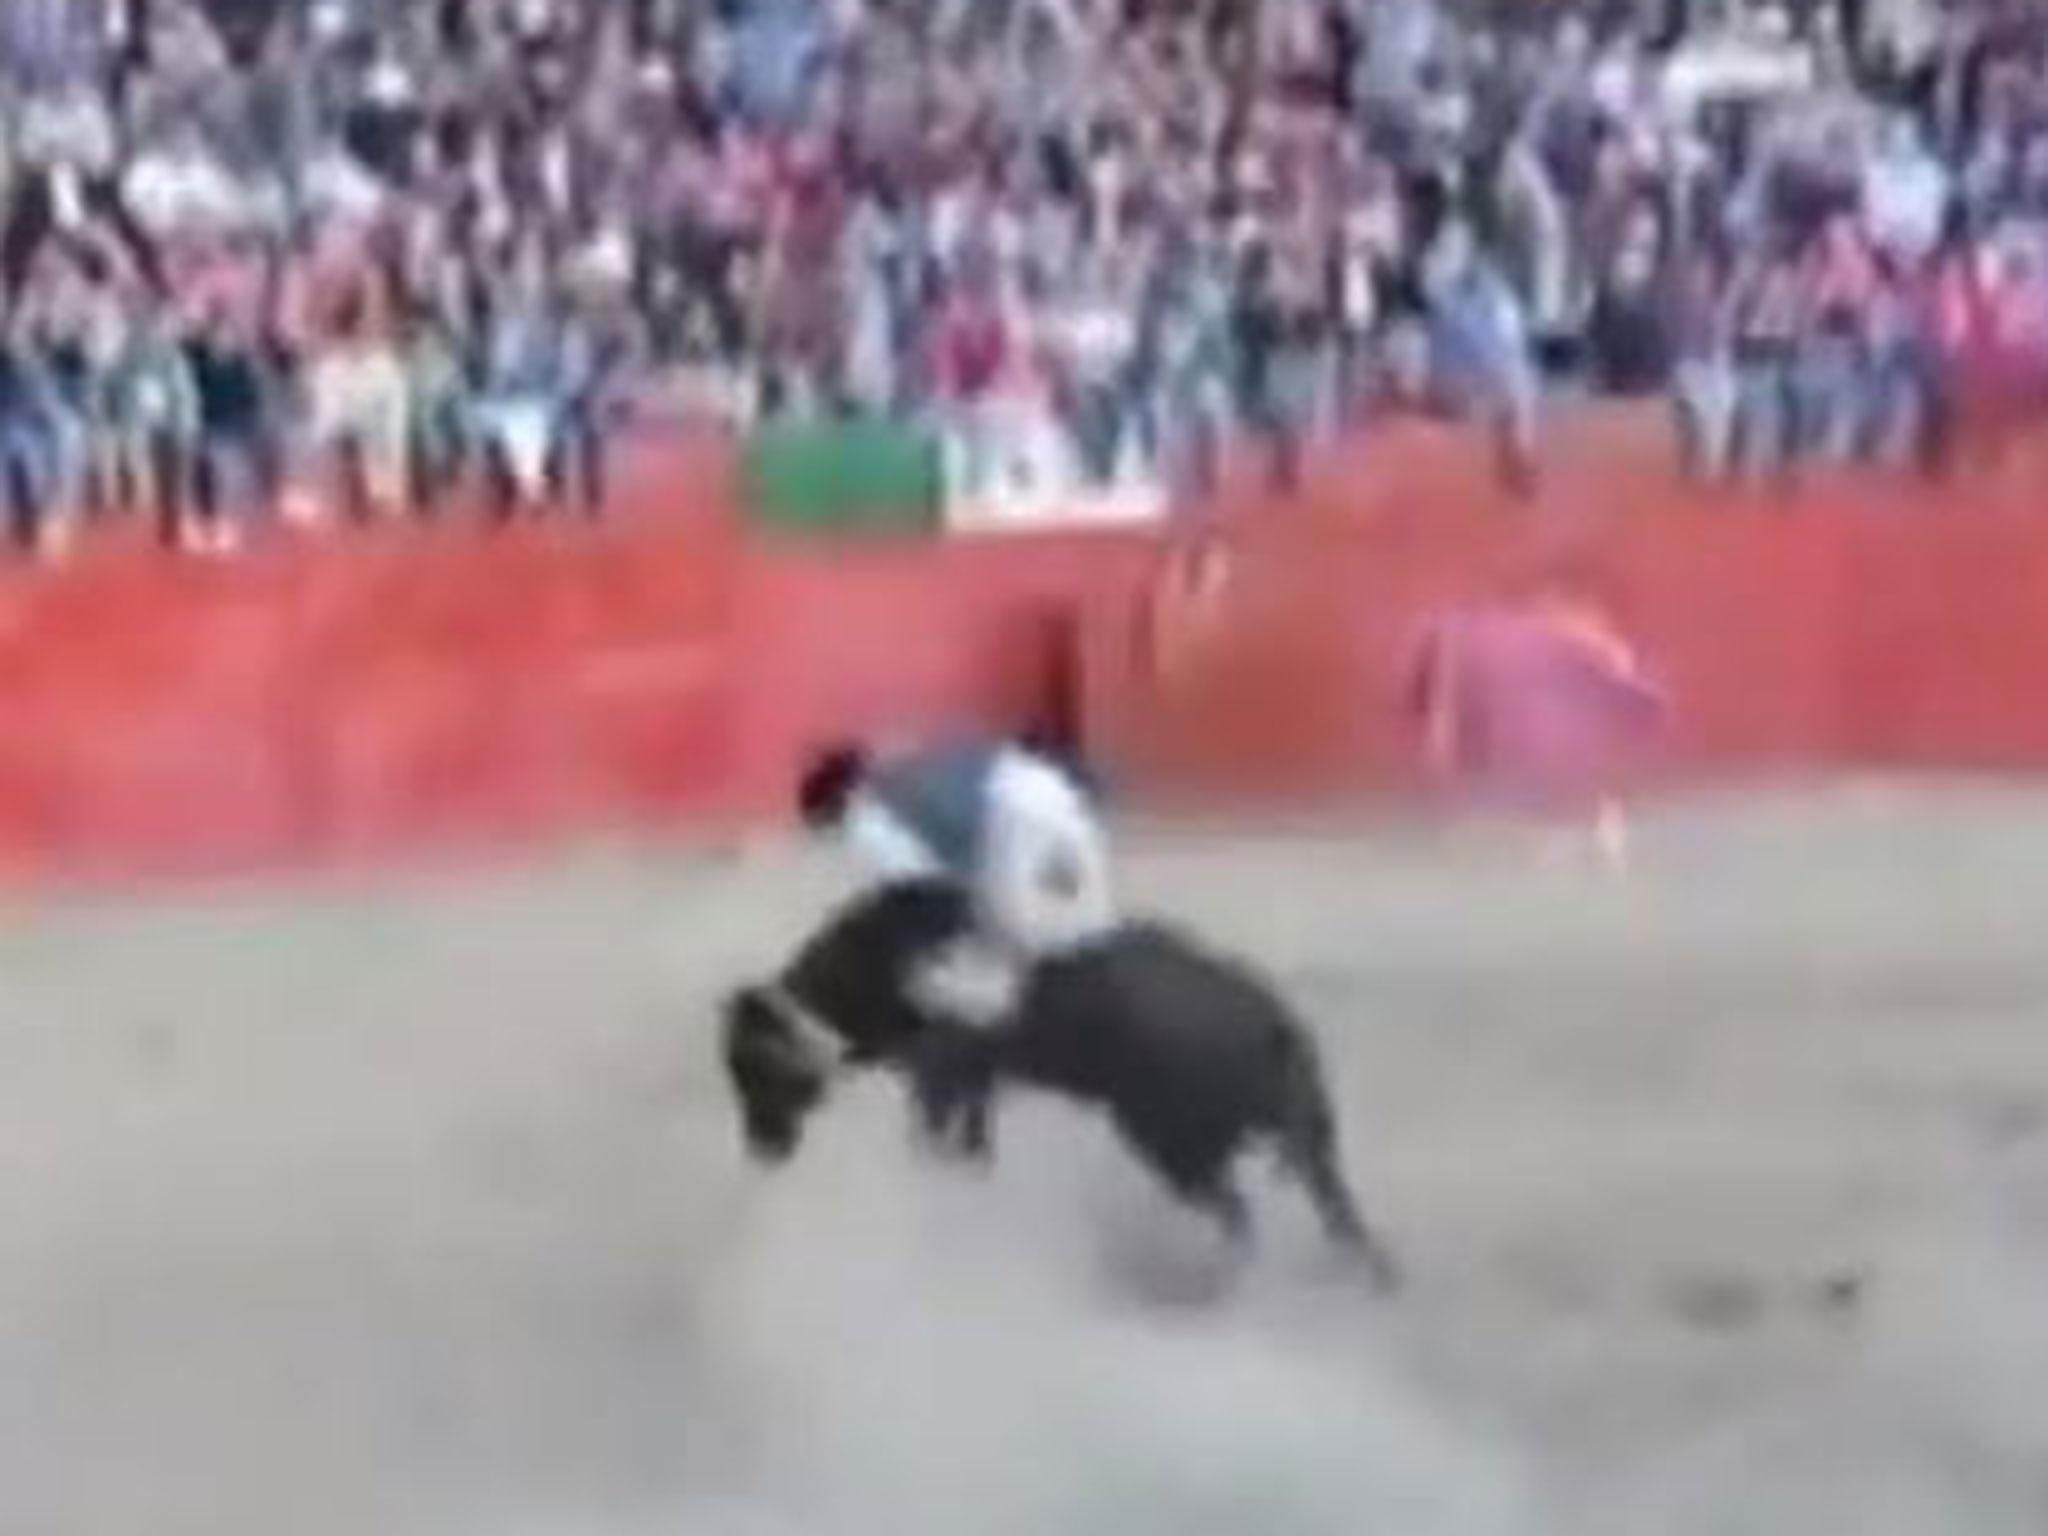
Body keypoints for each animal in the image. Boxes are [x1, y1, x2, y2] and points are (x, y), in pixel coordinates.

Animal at [712, 876, 1400, 1286]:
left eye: (753, 1071)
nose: (759, 1150)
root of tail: (1270, 1023)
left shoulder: (942, 1072)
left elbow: (934, 1131)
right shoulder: (974, 1081)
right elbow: (971, 1138)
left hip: (1168, 1141)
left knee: (1239, 1217)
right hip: (1308, 1146)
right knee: (1341, 1218)